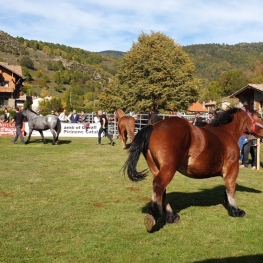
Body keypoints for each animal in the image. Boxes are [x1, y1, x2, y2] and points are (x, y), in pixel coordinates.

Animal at [124, 106, 263, 232]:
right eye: (259, 116)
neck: (226, 132)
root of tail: (154, 126)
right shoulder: (232, 168)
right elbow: (231, 189)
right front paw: (236, 211)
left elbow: (226, 190)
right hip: (168, 168)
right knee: (159, 185)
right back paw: (154, 215)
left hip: (156, 168)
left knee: (162, 190)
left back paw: (172, 216)